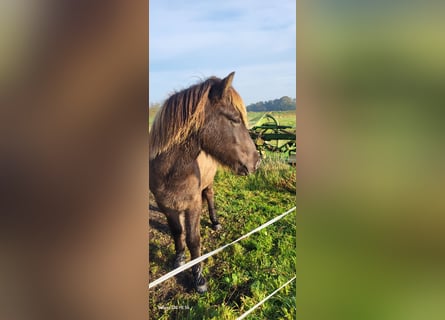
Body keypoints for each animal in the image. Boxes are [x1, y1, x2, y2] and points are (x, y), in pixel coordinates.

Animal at [149, 72, 260, 292]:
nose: (257, 161)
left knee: (209, 195)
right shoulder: (165, 204)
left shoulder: (193, 204)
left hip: (208, 183)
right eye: (235, 119)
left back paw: (215, 222)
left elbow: (194, 240)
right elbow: (177, 231)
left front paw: (198, 277)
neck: (171, 172)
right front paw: (179, 259)